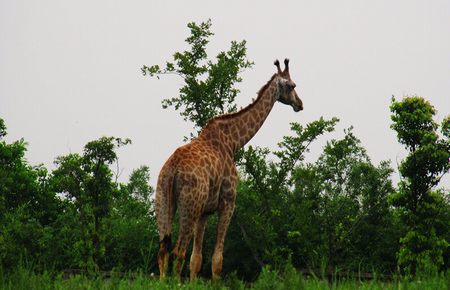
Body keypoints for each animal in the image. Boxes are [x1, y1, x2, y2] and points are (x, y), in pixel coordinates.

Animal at [155, 58, 302, 280]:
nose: (300, 104)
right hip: (190, 205)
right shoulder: (227, 203)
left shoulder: (205, 211)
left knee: (163, 250)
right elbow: (217, 260)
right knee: (177, 251)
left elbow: (196, 260)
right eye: (292, 85)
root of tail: (172, 170)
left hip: (163, 201)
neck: (233, 142)